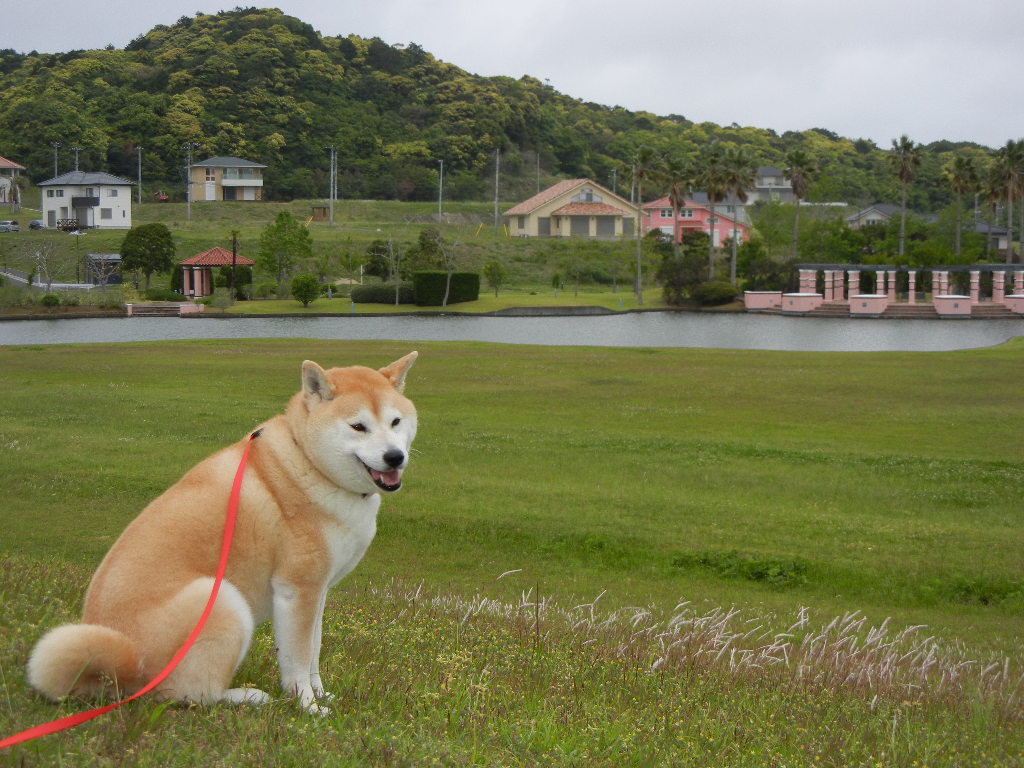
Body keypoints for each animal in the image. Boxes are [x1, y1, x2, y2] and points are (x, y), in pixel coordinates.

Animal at [29, 354, 419, 716]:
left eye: (395, 422)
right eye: (358, 426)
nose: (394, 457)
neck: (308, 464)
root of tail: (119, 668)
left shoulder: (318, 591)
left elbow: (313, 653)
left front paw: (322, 695)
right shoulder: (297, 589)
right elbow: (297, 660)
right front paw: (307, 707)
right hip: (222, 599)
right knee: (187, 694)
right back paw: (245, 697)